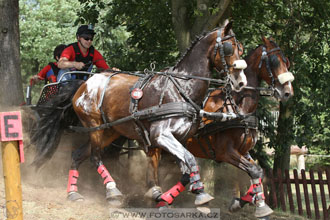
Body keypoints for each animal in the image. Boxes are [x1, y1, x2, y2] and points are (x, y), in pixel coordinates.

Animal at [30, 21, 248, 208]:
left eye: (242, 49)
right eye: (229, 48)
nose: (241, 82)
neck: (180, 87)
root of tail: (83, 85)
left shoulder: (179, 139)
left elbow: (186, 169)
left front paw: (165, 197)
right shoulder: (161, 136)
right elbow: (190, 160)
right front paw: (200, 194)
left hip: (111, 131)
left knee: (78, 155)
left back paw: (73, 193)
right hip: (94, 127)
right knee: (95, 157)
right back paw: (112, 191)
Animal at [146, 36, 296, 218]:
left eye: (287, 62)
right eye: (274, 61)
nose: (288, 92)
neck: (236, 107)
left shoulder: (244, 150)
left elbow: (258, 171)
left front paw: (241, 202)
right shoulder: (226, 152)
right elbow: (253, 170)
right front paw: (260, 207)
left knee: (181, 174)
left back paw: (167, 199)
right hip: (160, 145)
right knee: (154, 170)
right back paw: (157, 197)